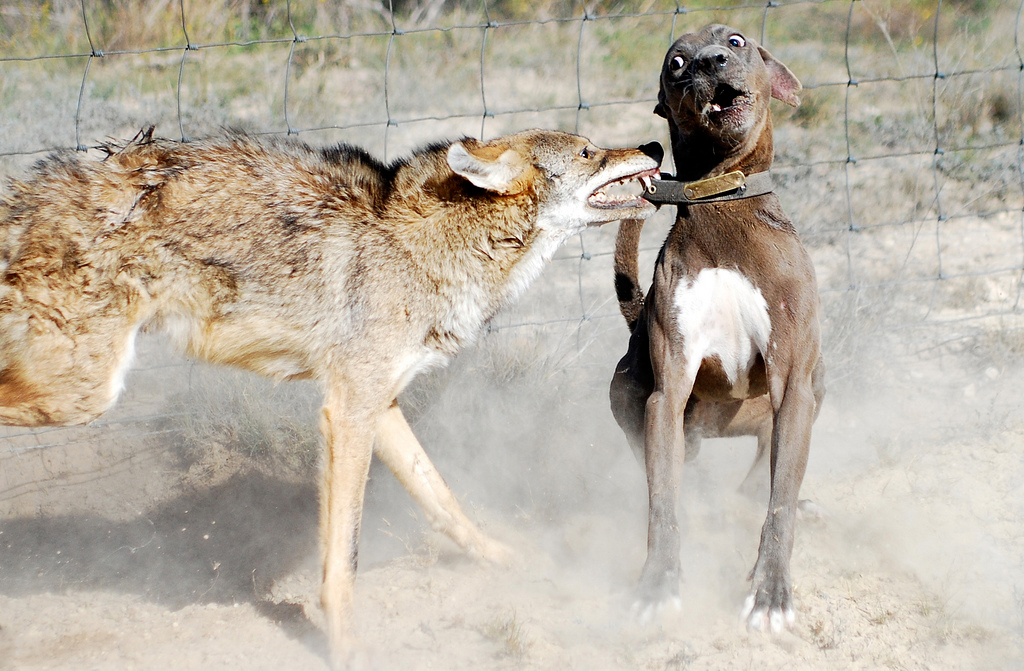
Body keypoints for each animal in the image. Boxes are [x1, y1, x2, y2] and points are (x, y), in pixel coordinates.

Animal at [606, 26, 823, 631]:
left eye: (736, 40)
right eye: (676, 63)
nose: (710, 62)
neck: (721, 201)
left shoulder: (793, 384)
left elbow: (777, 502)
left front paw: (771, 590)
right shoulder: (667, 393)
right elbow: (663, 505)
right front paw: (658, 583)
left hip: (807, 393)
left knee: (759, 482)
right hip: (629, 392)